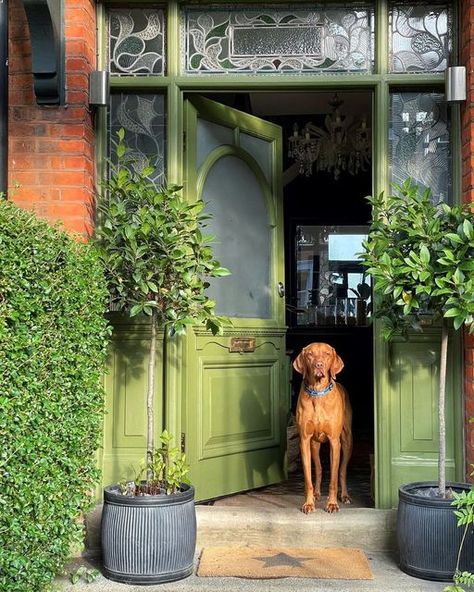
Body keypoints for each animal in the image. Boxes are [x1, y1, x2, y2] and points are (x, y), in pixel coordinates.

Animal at [292, 342, 352, 512]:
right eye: (310, 354)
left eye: (326, 354)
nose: (318, 365)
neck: (318, 392)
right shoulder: (305, 441)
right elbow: (308, 478)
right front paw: (309, 503)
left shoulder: (334, 442)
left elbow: (333, 478)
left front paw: (332, 503)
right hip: (314, 445)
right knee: (318, 469)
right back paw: (317, 494)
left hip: (347, 441)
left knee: (342, 471)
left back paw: (344, 496)